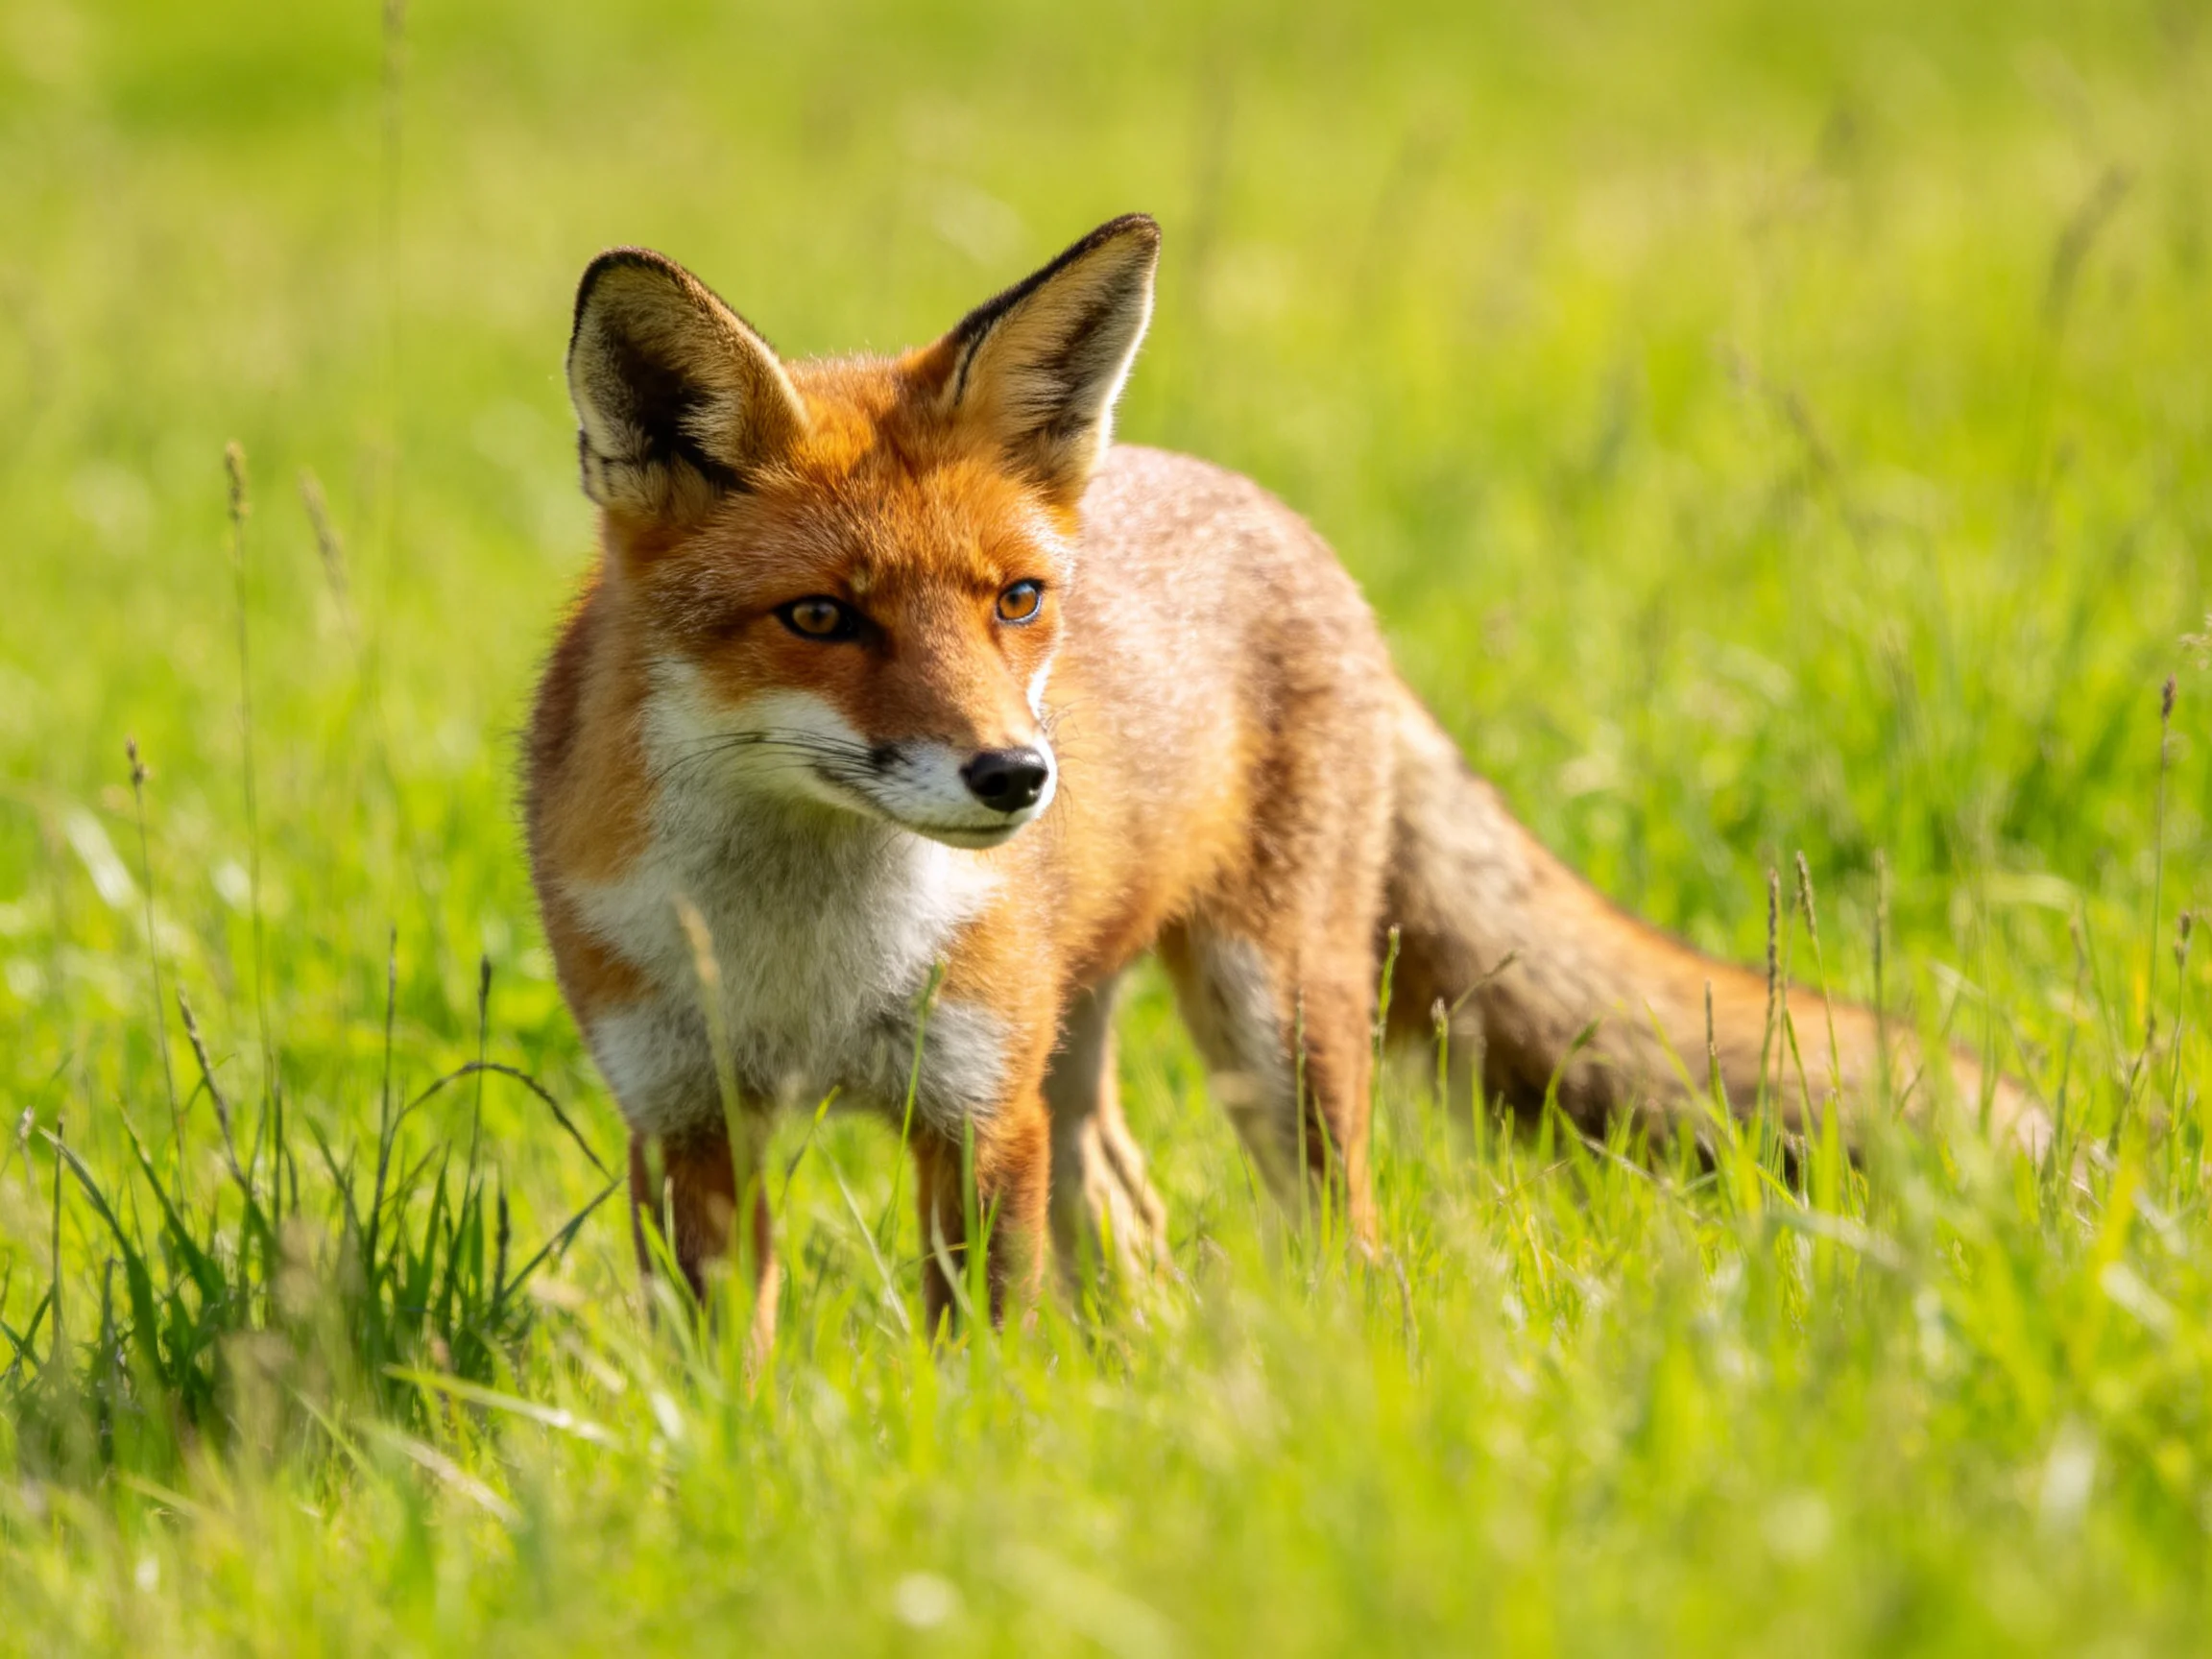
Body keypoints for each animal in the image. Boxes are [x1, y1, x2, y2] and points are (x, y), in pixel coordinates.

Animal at [526, 212, 2049, 1335]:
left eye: (1016, 601)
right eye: (821, 618)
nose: (1015, 778)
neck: (804, 960)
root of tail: (1276, 514)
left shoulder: (972, 1113)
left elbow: (978, 1358)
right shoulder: (683, 1120)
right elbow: (722, 1372)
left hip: (1275, 1024)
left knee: (1336, 1235)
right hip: (1086, 1041)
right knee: (1125, 1201)